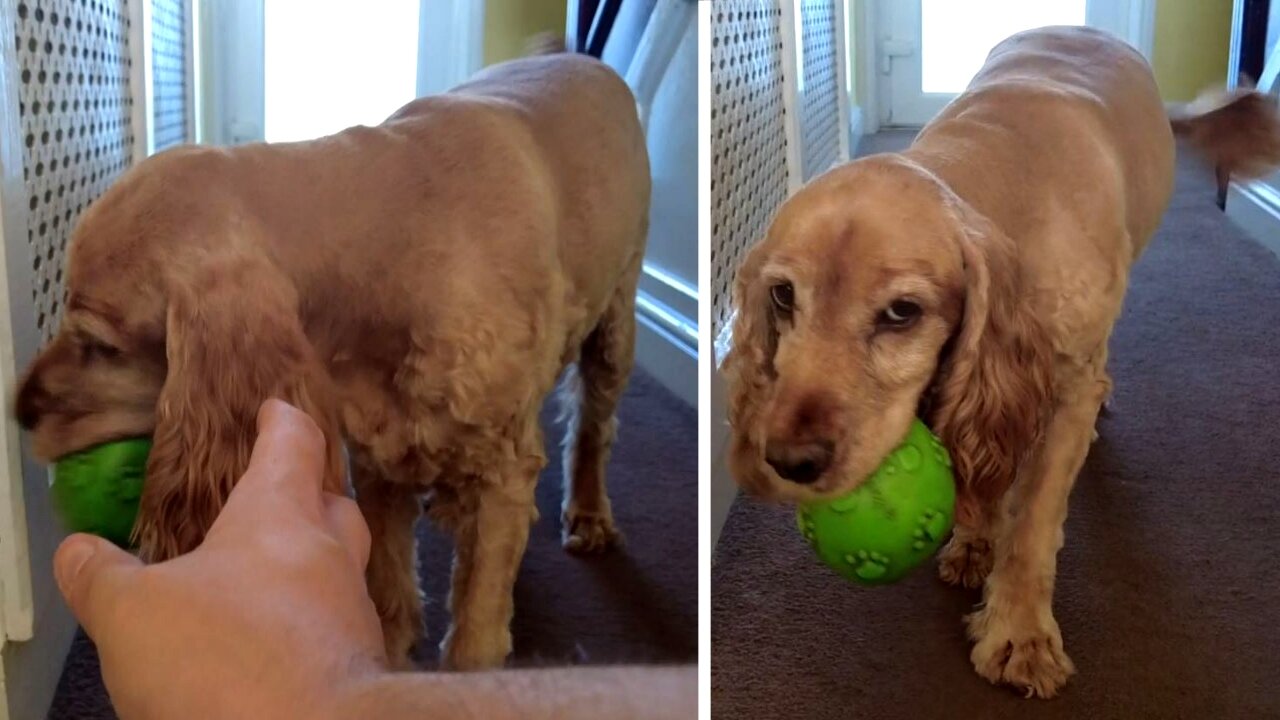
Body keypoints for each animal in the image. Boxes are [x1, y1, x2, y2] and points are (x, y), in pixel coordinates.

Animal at [13, 53, 645, 671]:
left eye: (101, 345)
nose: (19, 410)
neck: (393, 247)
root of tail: (578, 57)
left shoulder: (501, 476)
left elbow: (474, 639)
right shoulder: (380, 462)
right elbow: (387, 589)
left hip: (616, 326)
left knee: (594, 426)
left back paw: (589, 514)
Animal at [727, 26, 1274, 696]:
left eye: (902, 311)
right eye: (783, 296)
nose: (788, 461)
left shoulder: (1065, 391)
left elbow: (1035, 523)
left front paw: (1020, 634)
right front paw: (974, 540)